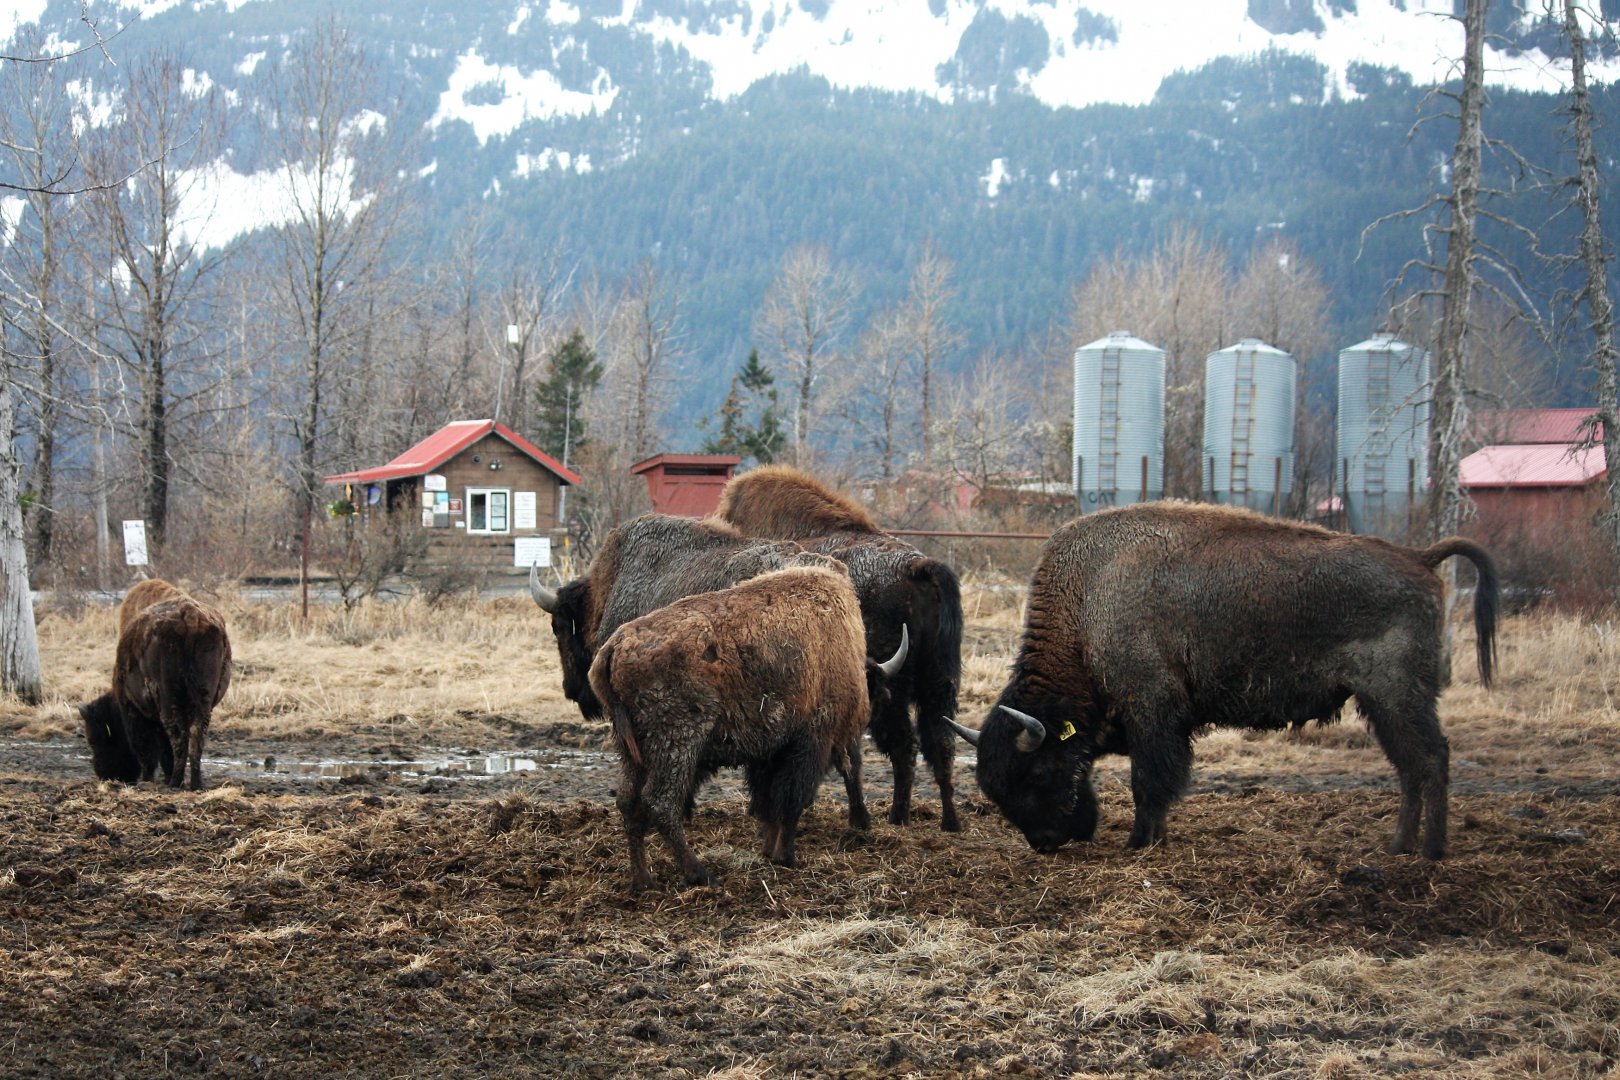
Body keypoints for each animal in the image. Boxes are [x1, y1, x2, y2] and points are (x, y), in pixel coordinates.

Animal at [79, 580, 233, 790]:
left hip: (168, 699)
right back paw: (194, 783)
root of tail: (190, 617)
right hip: (203, 697)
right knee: (196, 735)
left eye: (94, 739)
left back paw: (175, 782)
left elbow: (147, 749)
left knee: (178, 737)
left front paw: (147, 778)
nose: (106, 775)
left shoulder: (134, 708)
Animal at [589, 563, 907, 891]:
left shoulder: (771, 751)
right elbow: (792, 798)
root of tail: (615, 646)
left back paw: (643, 879)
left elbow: (770, 803)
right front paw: (786, 856)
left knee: (629, 802)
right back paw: (700, 873)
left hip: (632, 751)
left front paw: (769, 851)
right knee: (660, 804)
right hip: (677, 745)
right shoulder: (812, 740)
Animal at [712, 466, 966, 831]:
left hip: (892, 689)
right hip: (940, 681)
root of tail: (916, 568)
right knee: (939, 742)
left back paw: (897, 816)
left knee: (904, 746)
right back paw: (948, 821)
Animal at [946, 502, 1498, 860]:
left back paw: (1429, 852)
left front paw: (1140, 842)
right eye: (994, 787)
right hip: (1381, 704)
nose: (1045, 842)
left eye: (1038, 773)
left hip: (1396, 695)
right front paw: (1154, 837)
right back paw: (1399, 847)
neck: (1087, 604)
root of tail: (1419, 558)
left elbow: (1151, 780)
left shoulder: (1152, 712)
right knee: (1409, 766)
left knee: (1430, 759)